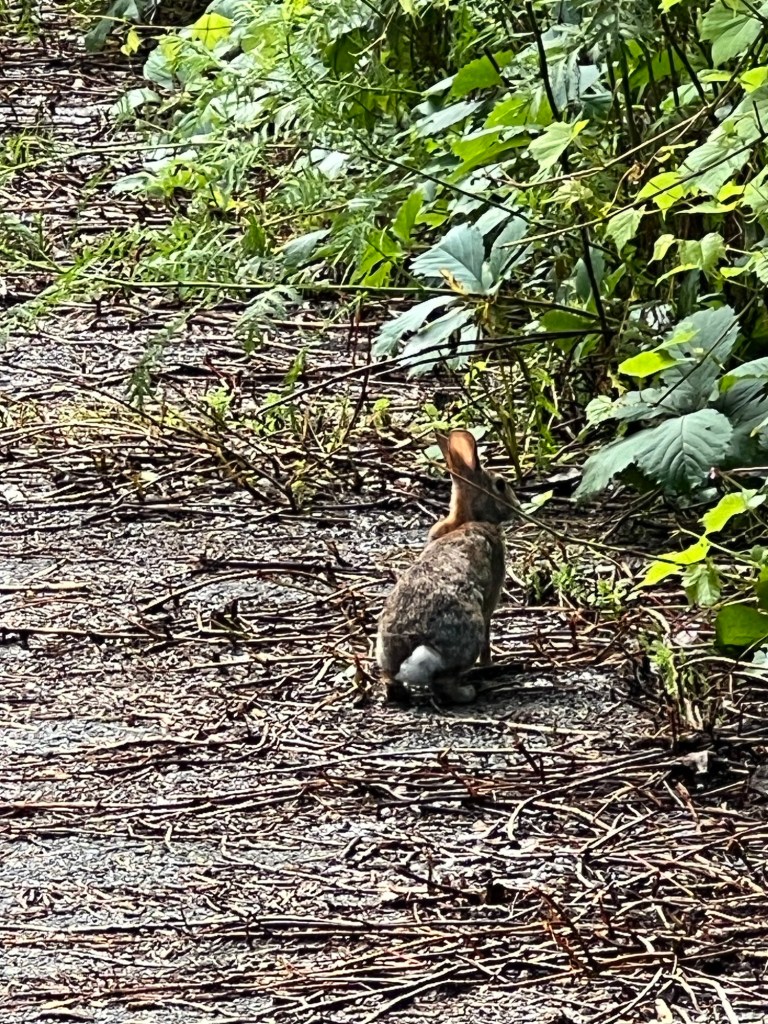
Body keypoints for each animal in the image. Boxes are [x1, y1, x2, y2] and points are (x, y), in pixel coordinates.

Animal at [376, 429, 516, 704]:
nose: (516, 505)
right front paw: (489, 663)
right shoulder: (491, 598)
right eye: (500, 484)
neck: (468, 518)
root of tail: (408, 658)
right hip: (469, 632)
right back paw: (469, 691)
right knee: (444, 683)